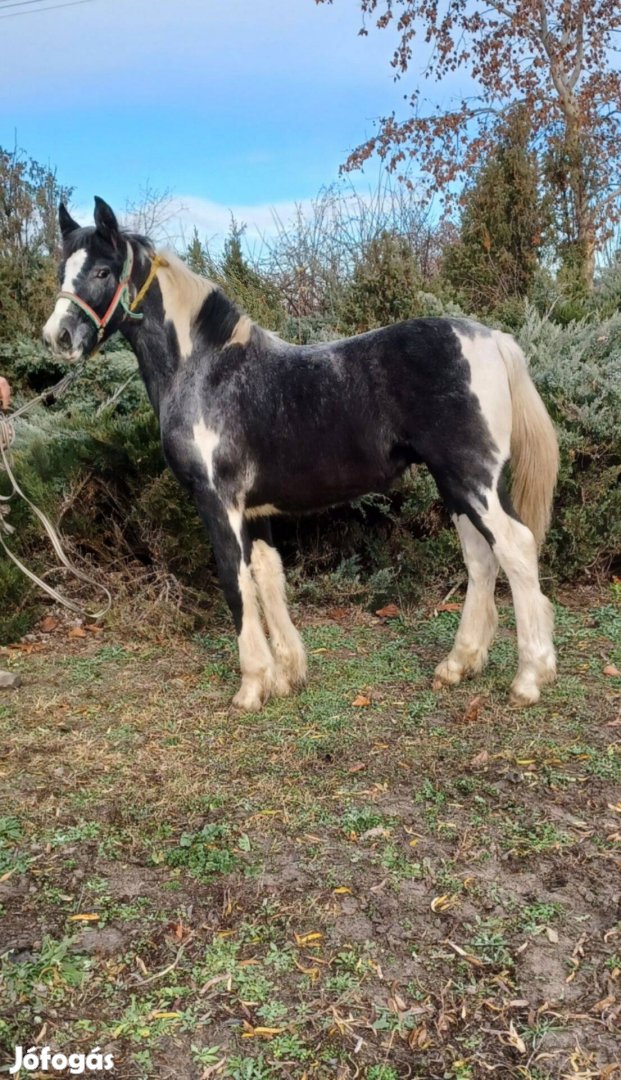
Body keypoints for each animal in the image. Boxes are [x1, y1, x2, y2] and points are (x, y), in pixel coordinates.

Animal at [42, 198, 557, 712]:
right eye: (62, 270)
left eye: (103, 270)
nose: (58, 336)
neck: (207, 370)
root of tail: (492, 339)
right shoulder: (254, 510)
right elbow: (268, 576)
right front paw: (287, 674)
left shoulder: (217, 501)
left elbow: (235, 582)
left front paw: (252, 685)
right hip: (456, 483)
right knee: (481, 558)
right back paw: (458, 664)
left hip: (473, 479)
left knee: (515, 547)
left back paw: (530, 677)